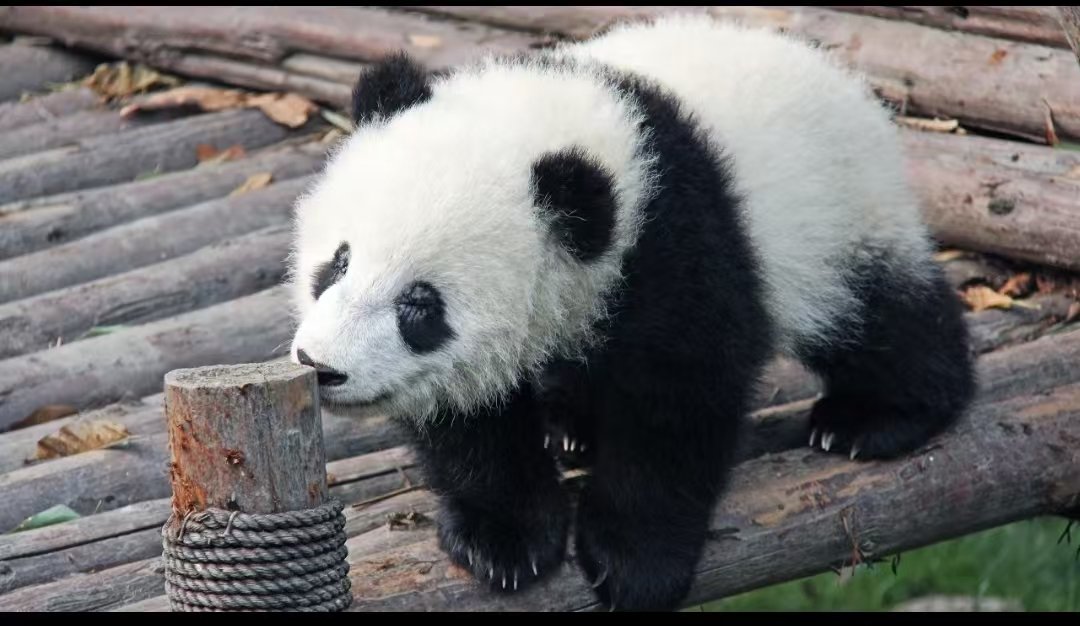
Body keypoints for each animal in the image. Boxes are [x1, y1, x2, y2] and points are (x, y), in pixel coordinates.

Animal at [288, 15, 975, 611]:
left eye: (420, 306)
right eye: (339, 263)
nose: (321, 366)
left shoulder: (675, 240)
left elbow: (677, 400)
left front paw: (634, 563)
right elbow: (471, 418)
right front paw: (504, 539)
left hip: (837, 212)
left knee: (877, 315)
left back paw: (874, 417)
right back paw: (571, 426)